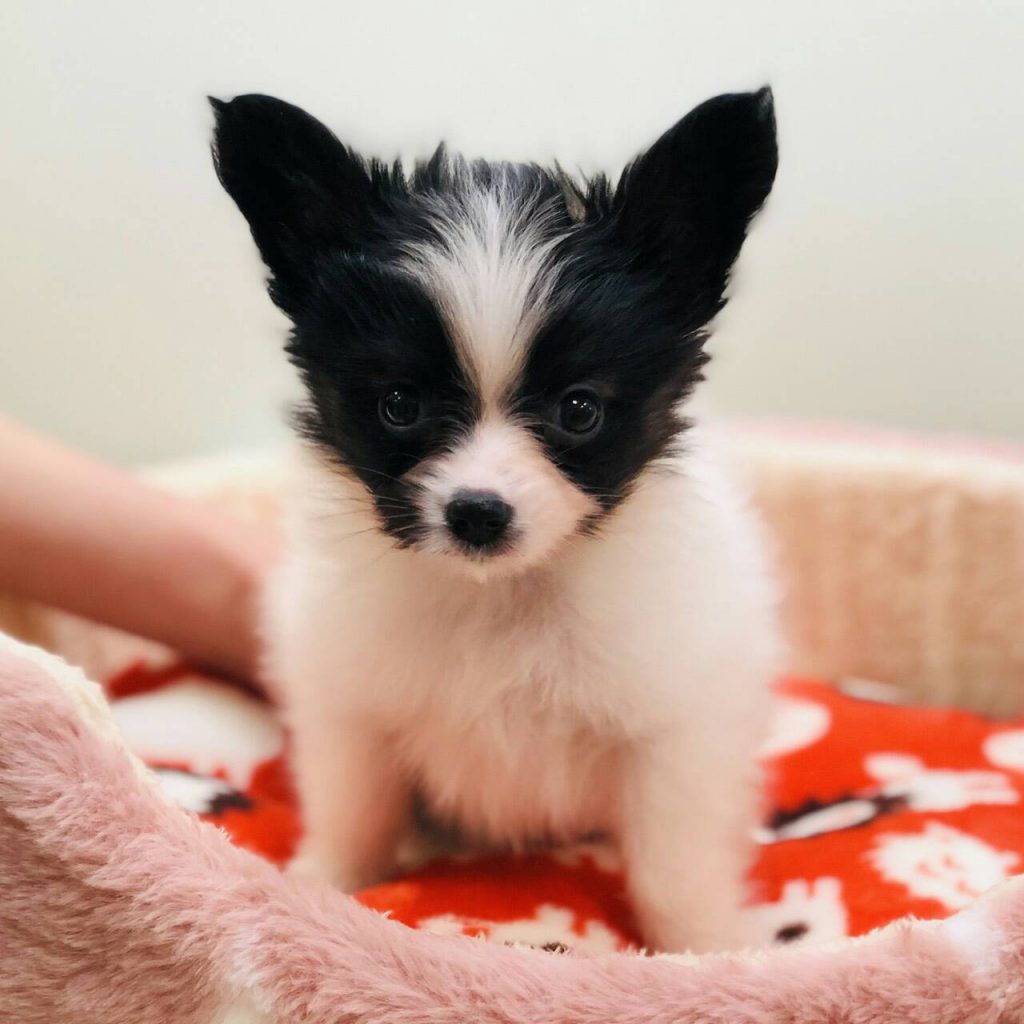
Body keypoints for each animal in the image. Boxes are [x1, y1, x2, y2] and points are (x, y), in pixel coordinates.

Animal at [211, 87, 781, 952]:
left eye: (578, 410)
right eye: (399, 405)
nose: (477, 513)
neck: (501, 598)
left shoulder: (674, 727)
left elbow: (671, 861)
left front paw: (705, 949)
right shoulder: (351, 708)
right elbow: (355, 812)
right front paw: (321, 887)